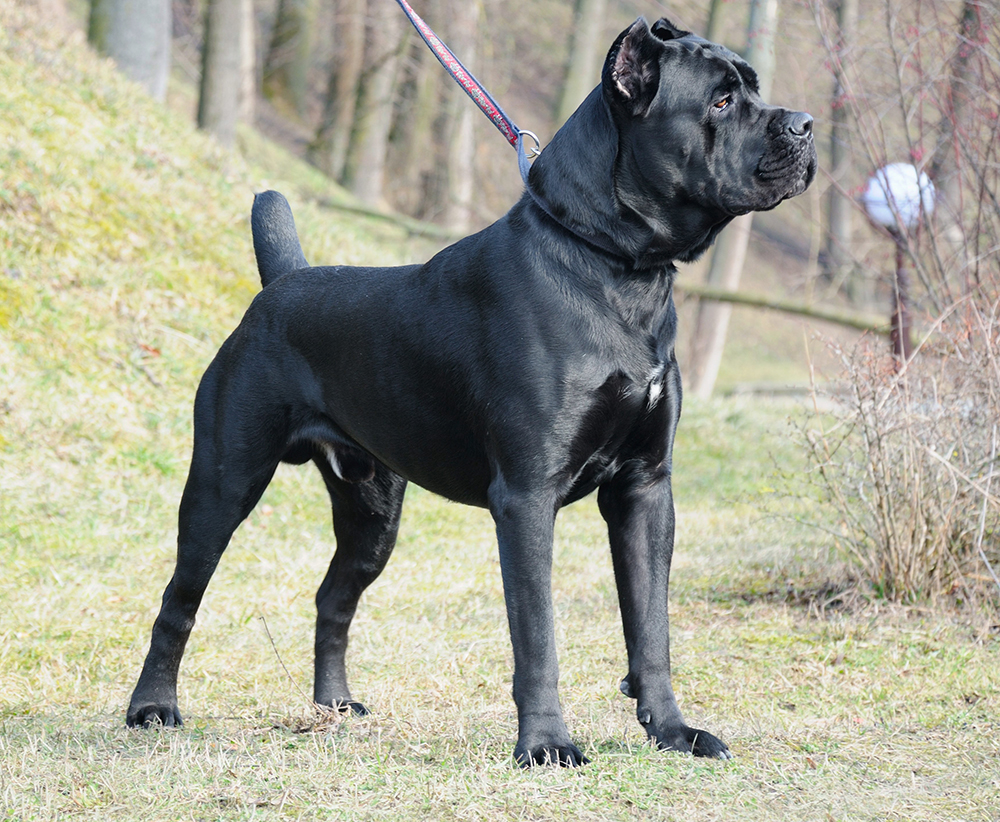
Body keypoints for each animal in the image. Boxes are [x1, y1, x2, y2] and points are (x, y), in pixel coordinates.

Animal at [127, 16, 812, 768]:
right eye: (720, 100)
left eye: (751, 87)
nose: (806, 124)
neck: (616, 268)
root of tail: (279, 286)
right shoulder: (527, 496)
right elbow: (536, 633)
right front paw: (546, 745)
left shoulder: (645, 487)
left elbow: (651, 628)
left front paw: (672, 732)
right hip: (223, 486)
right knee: (178, 599)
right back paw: (152, 708)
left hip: (373, 514)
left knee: (332, 598)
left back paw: (334, 705)